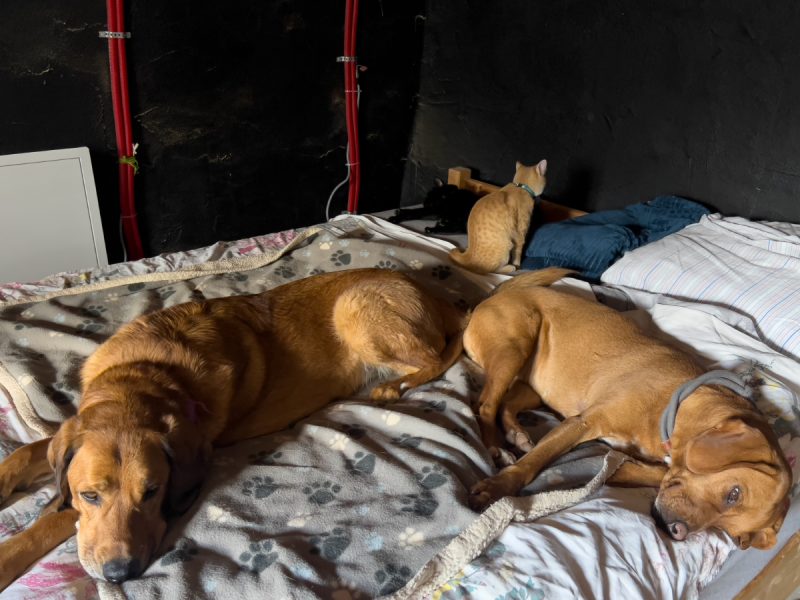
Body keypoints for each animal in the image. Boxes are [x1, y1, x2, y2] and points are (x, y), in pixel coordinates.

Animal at [0, 268, 462, 584]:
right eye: (90, 495)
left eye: (152, 493)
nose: (121, 574)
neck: (147, 372)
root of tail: (432, 293)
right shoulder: (71, 434)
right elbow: (28, 450)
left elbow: (51, 519)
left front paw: (12, 554)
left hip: (356, 310)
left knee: (440, 356)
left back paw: (392, 386)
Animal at [466, 270, 792, 552]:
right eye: (733, 494)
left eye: (729, 533)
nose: (677, 531)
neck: (676, 405)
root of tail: (498, 294)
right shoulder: (583, 423)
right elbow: (532, 463)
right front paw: (499, 488)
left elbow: (656, 473)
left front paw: (621, 470)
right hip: (514, 348)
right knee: (486, 405)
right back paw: (496, 449)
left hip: (535, 386)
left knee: (506, 405)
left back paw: (516, 434)